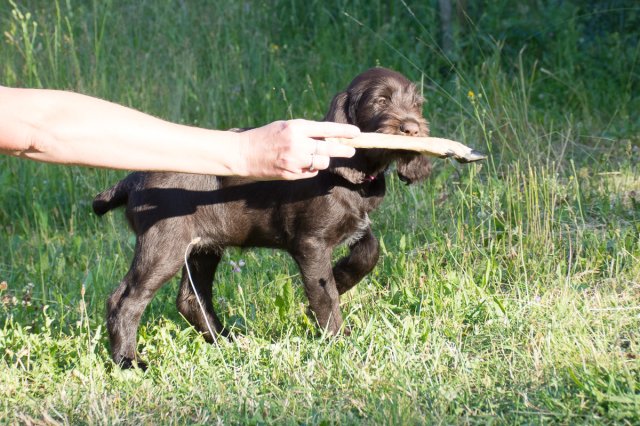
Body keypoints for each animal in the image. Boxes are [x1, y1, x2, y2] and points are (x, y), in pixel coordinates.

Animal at [93, 67, 431, 368]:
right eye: (381, 101)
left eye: (416, 104)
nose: (412, 129)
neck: (352, 174)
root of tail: (134, 178)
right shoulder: (310, 243)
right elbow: (324, 294)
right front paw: (336, 336)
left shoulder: (354, 224)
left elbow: (369, 251)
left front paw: (341, 275)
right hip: (165, 246)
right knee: (124, 300)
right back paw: (129, 361)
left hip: (203, 247)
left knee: (191, 299)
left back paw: (225, 341)